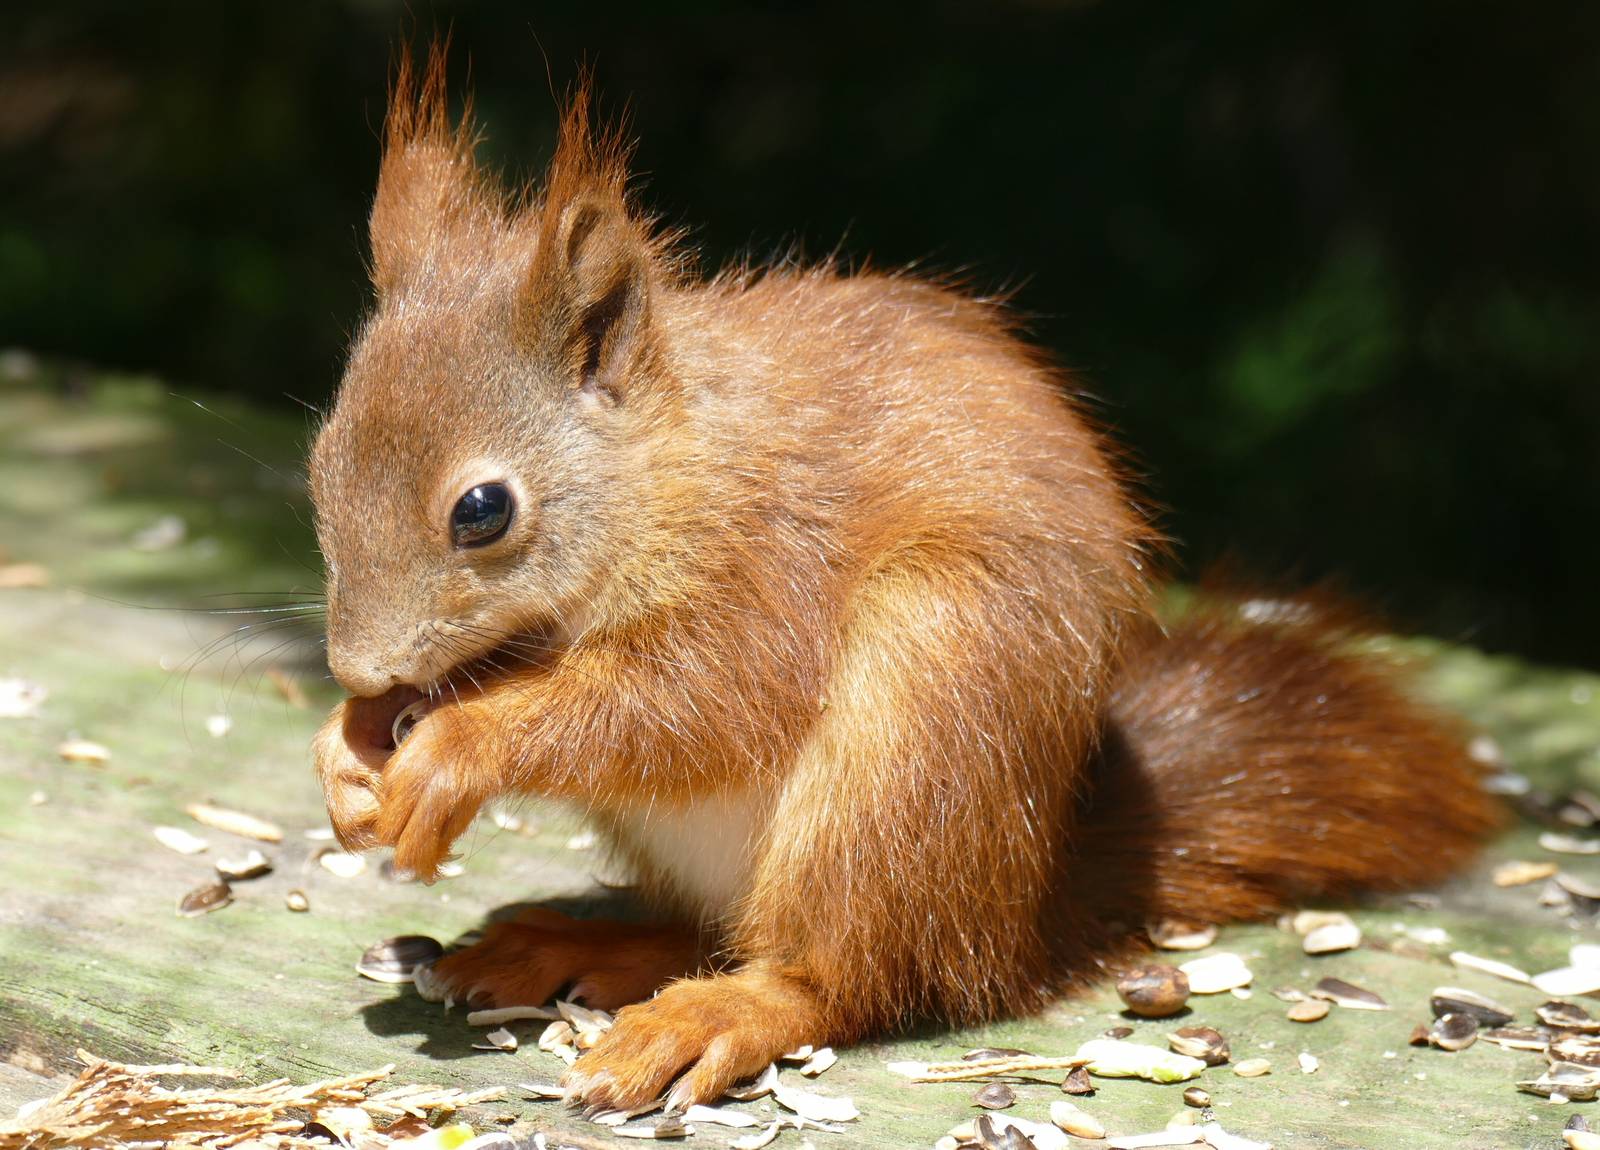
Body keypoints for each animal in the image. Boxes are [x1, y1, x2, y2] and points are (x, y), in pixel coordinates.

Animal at [309, 49, 1500, 1112]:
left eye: (482, 510)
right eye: (321, 462)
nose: (355, 666)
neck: (673, 465)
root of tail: (1022, 908)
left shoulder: (770, 567)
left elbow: (690, 704)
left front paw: (453, 749)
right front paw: (348, 749)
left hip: (917, 724)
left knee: (837, 974)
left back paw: (716, 1013)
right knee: (713, 929)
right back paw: (569, 943)